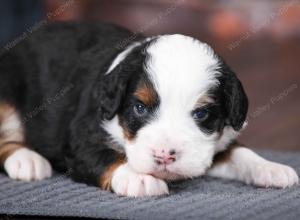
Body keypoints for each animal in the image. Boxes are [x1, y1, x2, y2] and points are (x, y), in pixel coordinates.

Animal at [0, 22, 298, 198]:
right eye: (140, 108)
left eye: (201, 114)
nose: (164, 155)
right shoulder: (82, 138)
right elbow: (107, 157)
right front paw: (139, 179)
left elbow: (240, 153)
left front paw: (271, 168)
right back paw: (27, 161)